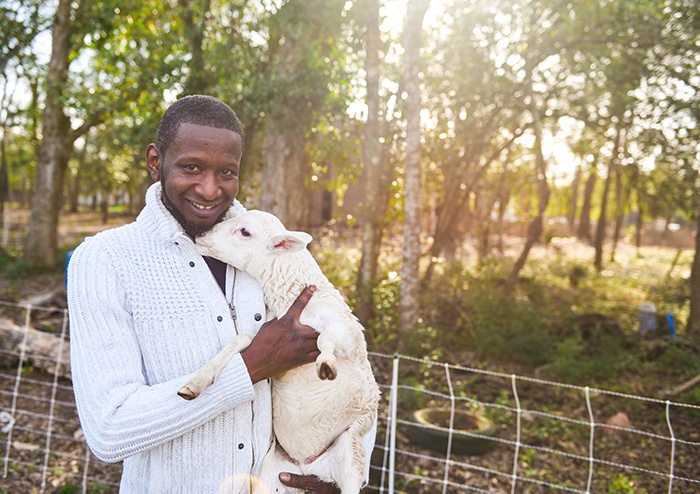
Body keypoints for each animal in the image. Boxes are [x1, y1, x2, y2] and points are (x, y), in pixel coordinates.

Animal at [178, 211, 380, 494]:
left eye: (244, 232)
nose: (201, 235)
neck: (291, 298)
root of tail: (306, 467)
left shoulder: (346, 332)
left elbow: (325, 338)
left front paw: (326, 364)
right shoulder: (270, 333)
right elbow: (241, 338)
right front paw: (197, 381)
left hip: (350, 455)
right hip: (270, 475)